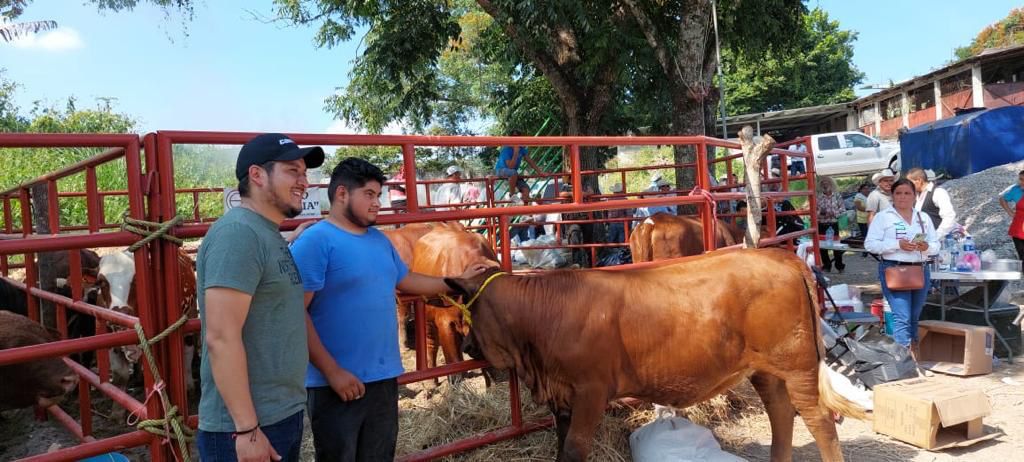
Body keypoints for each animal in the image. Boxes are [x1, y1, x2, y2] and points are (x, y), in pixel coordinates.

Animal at [446, 249, 864, 462]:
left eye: (469, 310)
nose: (466, 348)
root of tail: (782, 257)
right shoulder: (562, 396)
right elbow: (562, 445)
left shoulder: (590, 391)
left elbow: (575, 448)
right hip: (765, 368)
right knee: (780, 411)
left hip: (798, 366)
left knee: (819, 421)